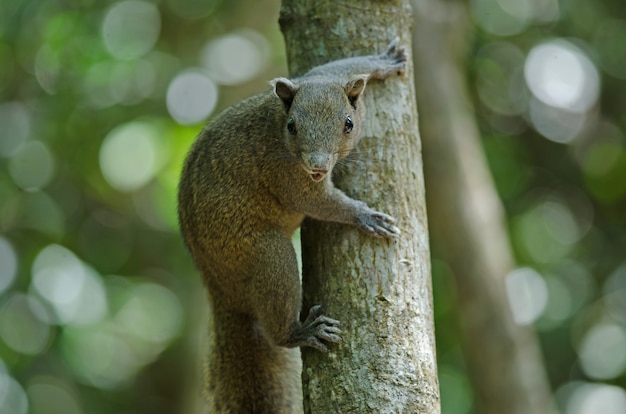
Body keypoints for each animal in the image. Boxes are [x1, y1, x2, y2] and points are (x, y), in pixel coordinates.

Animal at [176, 38, 404, 410]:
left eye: (348, 123)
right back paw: (301, 332)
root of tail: (219, 286)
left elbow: (339, 66)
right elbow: (316, 203)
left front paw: (383, 61)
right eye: (292, 126)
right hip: (266, 253)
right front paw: (366, 216)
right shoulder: (286, 175)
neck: (275, 122)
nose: (317, 166)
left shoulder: (322, 75)